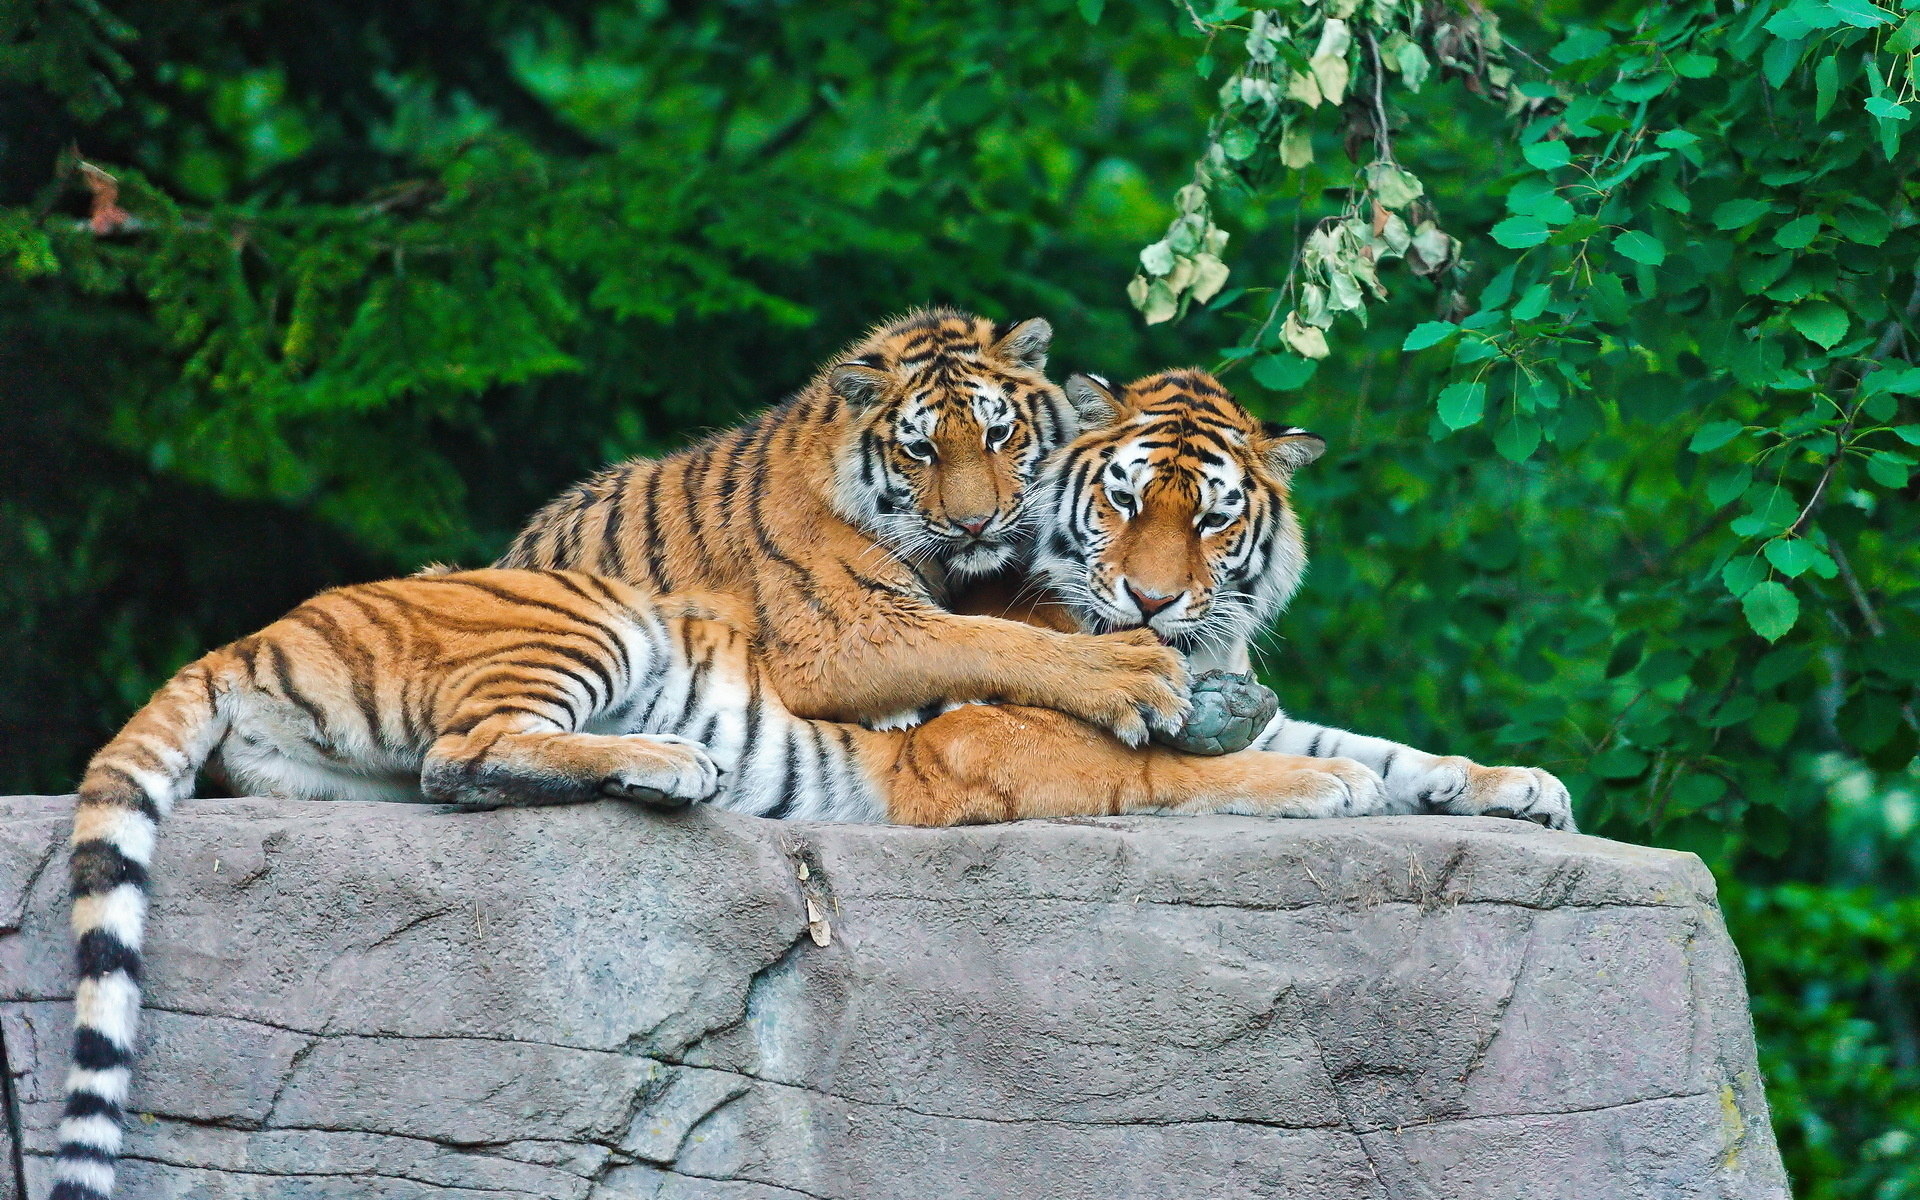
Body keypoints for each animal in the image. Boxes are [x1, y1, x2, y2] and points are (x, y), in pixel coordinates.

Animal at [52, 564, 1382, 1198]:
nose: (1250, 681)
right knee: (465, 754)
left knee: (445, 778)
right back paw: (669, 767)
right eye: (1180, 633)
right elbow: (1180, 773)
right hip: (585, 623)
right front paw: (1325, 784)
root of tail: (248, 637)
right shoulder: (999, 760)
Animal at [495, 303, 1182, 744]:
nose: (975, 524)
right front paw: (1135, 676)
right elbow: (992, 641)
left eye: (997, 434)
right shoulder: (845, 630)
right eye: (921, 450)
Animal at [975, 370, 1574, 829]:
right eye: (1124, 500)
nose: (1150, 601)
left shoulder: (1272, 721)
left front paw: (1519, 785)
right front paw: (1331, 785)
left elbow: (1378, 749)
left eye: (1212, 519)